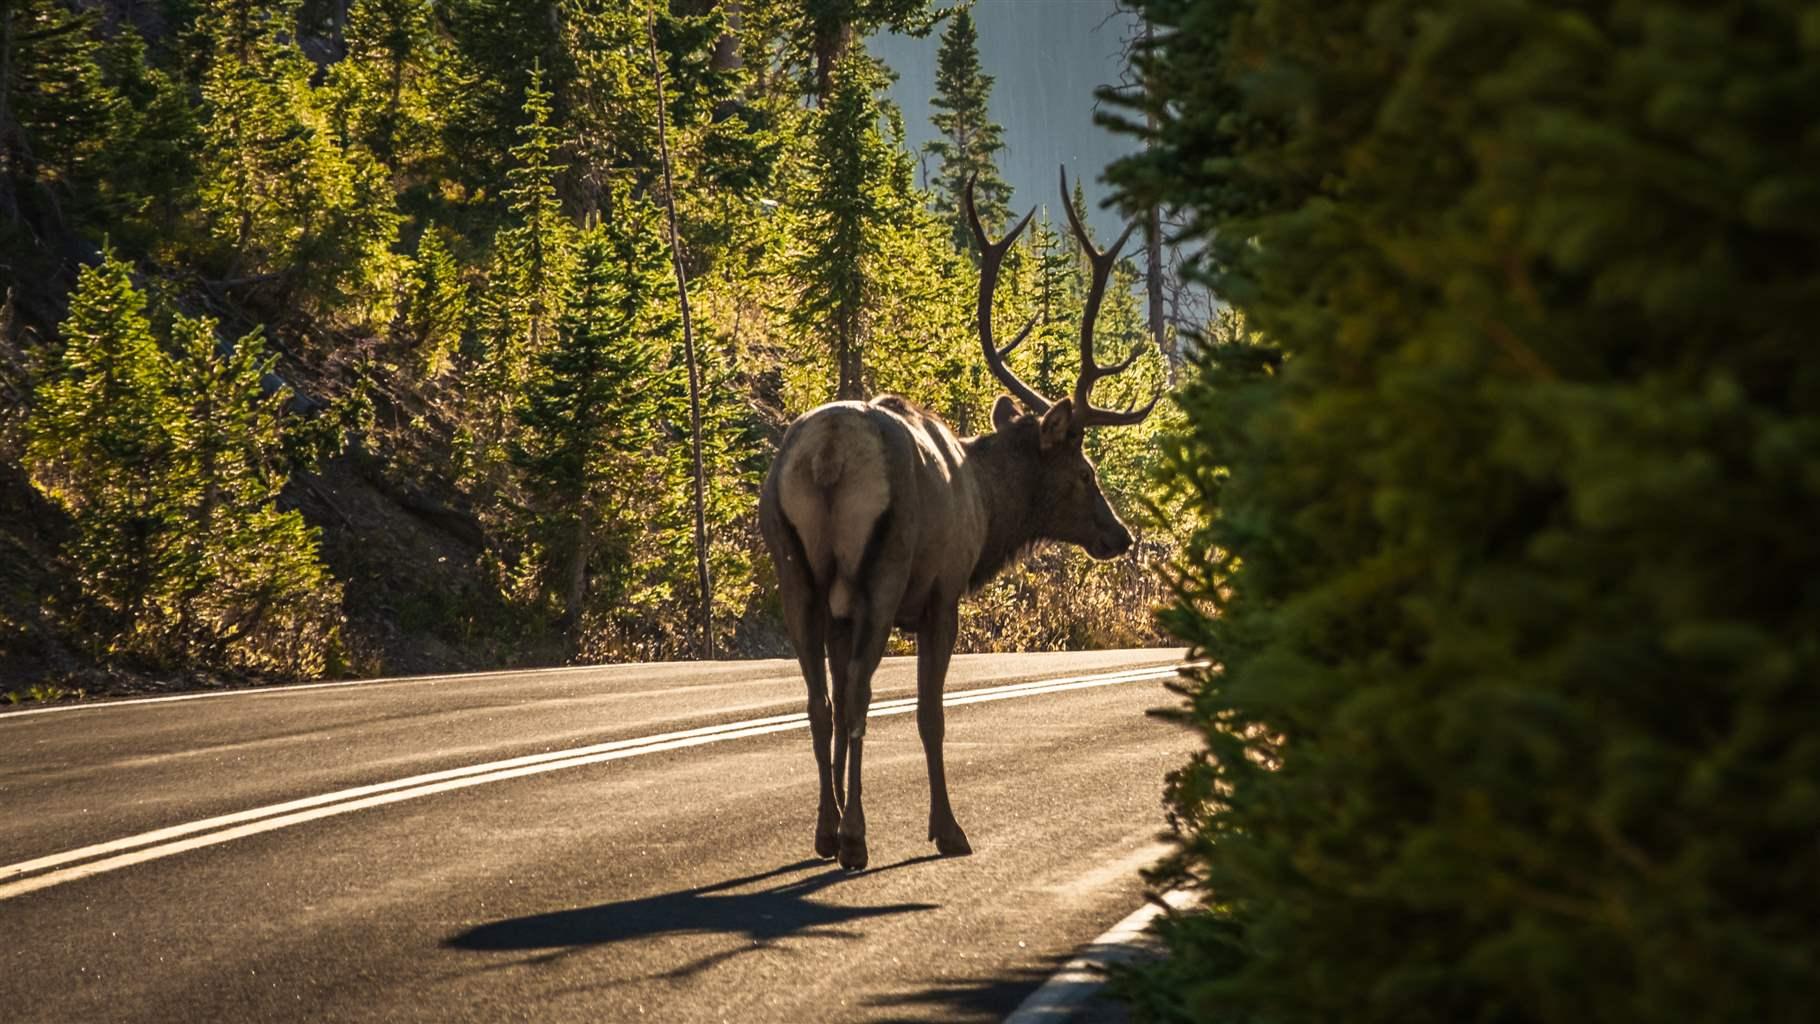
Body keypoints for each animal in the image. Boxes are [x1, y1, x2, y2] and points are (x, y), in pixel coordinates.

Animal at [757, 171, 1157, 869]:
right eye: (1085, 473)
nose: (1120, 536)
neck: (988, 508)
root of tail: (829, 455)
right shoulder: (942, 594)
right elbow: (929, 713)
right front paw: (947, 829)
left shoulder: (837, 607)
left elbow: (834, 704)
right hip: (883, 570)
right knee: (858, 695)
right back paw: (857, 838)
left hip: (794, 572)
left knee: (819, 701)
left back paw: (827, 831)